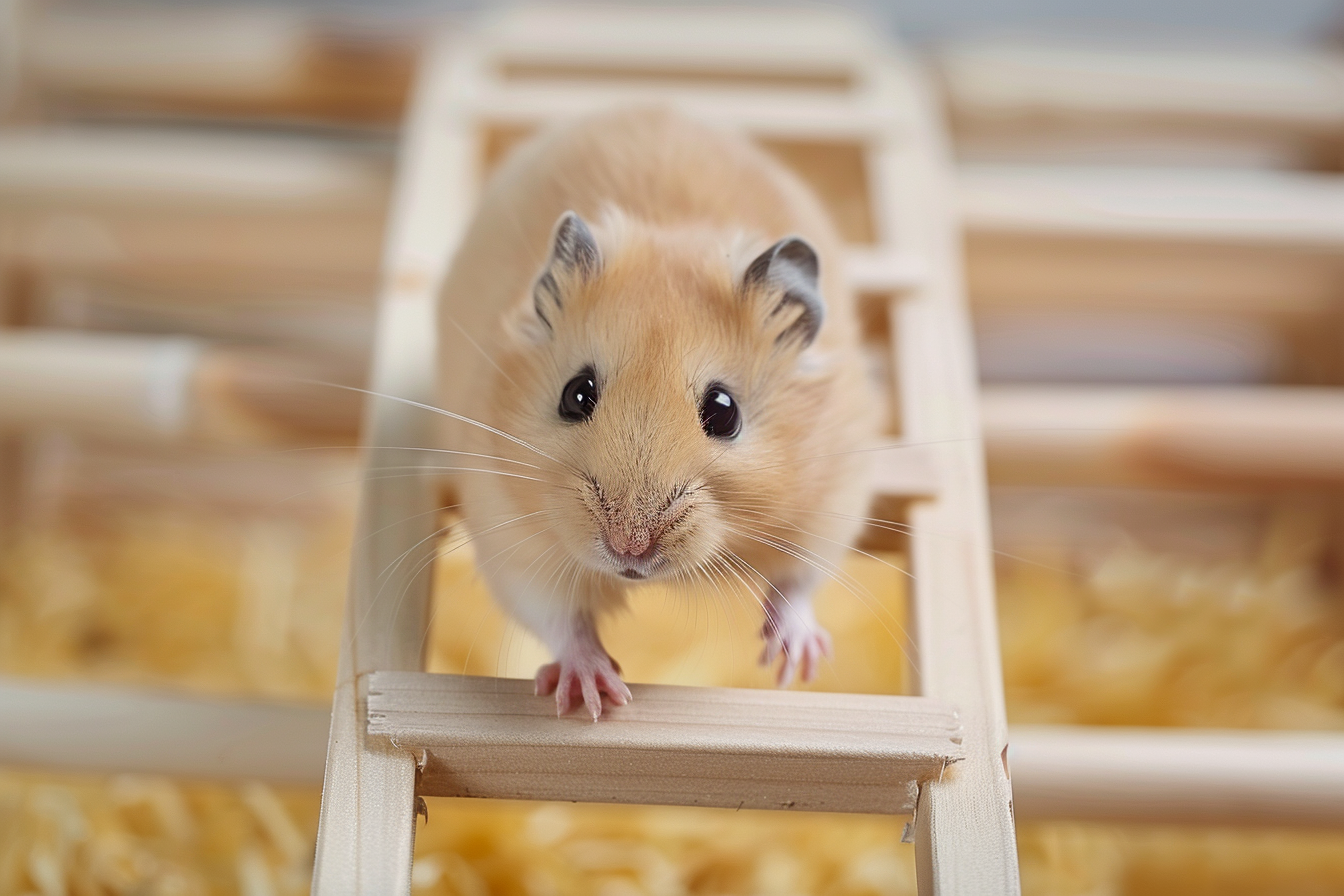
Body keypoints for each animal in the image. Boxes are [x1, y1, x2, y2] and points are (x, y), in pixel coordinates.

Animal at [436, 107, 875, 719]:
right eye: (576, 394)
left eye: (724, 412)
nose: (629, 549)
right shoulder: (512, 537)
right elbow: (560, 617)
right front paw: (597, 695)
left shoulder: (832, 501)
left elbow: (800, 582)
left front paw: (794, 665)